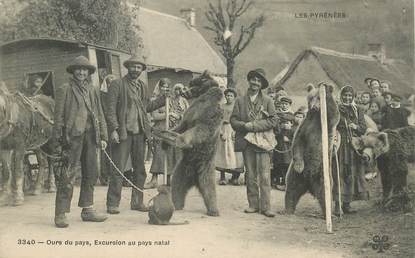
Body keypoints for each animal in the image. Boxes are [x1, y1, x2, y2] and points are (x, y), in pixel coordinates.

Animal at [159, 70, 224, 216]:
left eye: (193, 82)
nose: (184, 89)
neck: (204, 94)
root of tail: (194, 180)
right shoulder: (189, 115)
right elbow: (182, 125)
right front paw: (166, 138)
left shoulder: (208, 113)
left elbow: (199, 129)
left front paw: (178, 139)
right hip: (183, 168)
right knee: (177, 185)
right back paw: (176, 204)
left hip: (205, 167)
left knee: (209, 188)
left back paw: (213, 210)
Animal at [286, 82, 342, 214]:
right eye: (311, 97)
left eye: (319, 98)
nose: (314, 107)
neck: (317, 117)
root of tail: (309, 184)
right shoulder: (305, 127)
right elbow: (298, 142)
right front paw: (299, 166)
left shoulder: (328, 126)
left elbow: (335, 113)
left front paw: (325, 86)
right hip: (295, 176)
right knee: (291, 188)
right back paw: (288, 209)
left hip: (323, 174)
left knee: (325, 195)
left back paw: (328, 212)